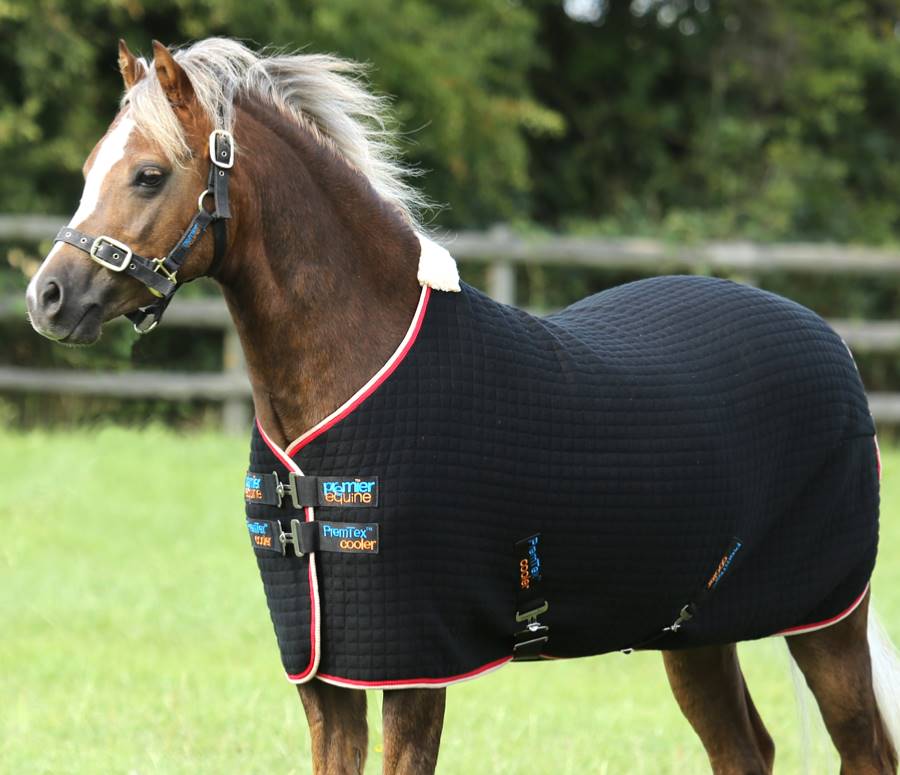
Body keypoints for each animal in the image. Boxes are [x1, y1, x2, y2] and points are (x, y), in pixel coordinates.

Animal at [24, 38, 896, 775]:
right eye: (91, 166)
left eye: (147, 174)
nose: (47, 297)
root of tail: (828, 338)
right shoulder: (323, 675)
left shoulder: (416, 664)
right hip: (691, 633)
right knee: (745, 750)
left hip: (828, 623)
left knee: (863, 750)